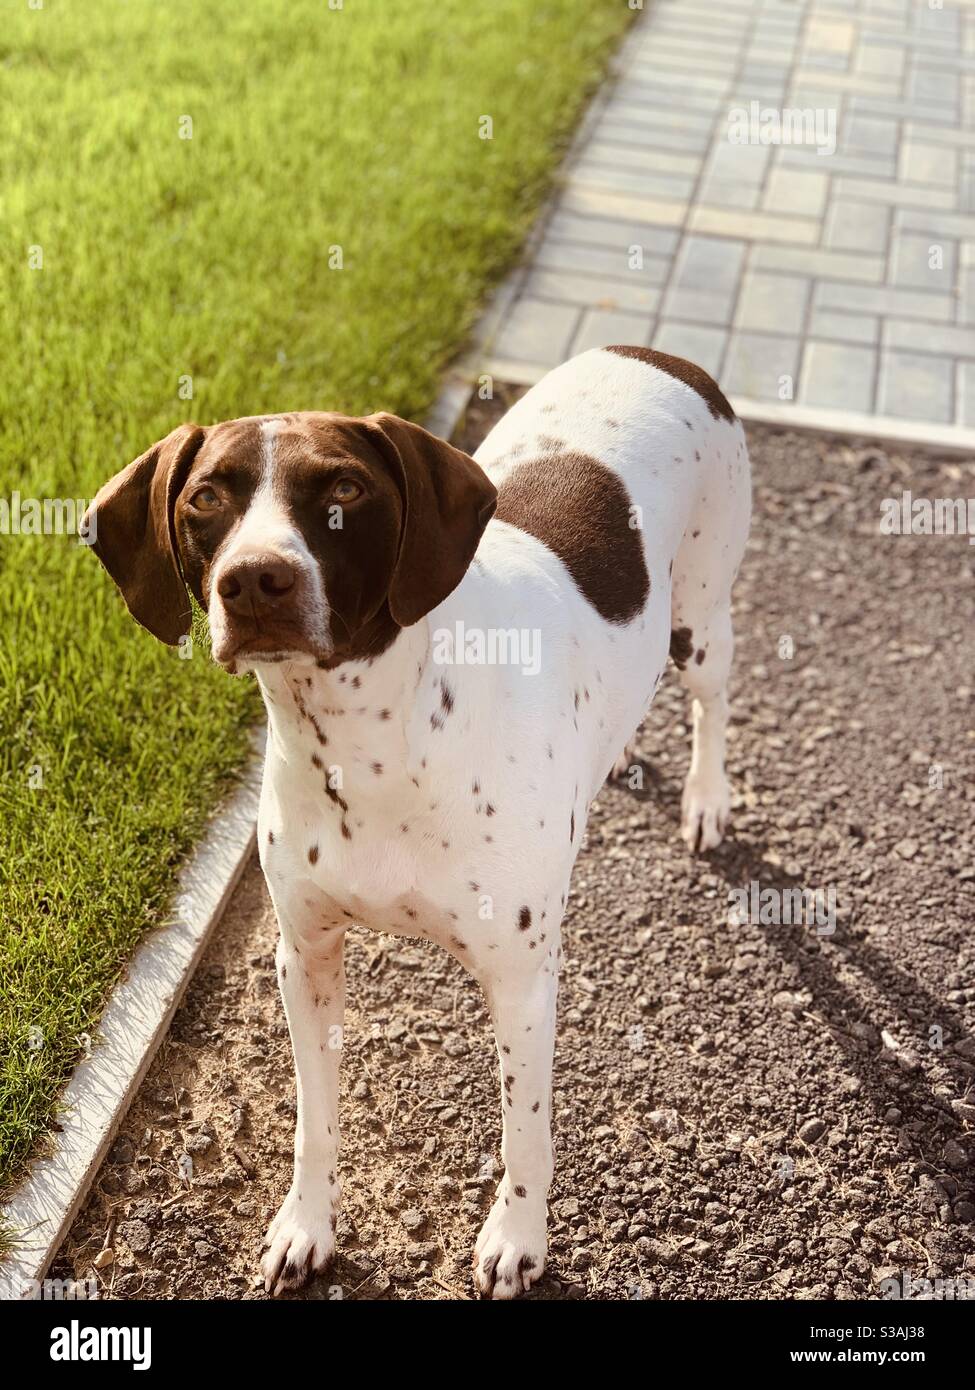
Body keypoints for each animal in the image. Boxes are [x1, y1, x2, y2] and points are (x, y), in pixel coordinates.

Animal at [87, 344, 751, 1289]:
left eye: (346, 488)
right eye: (207, 498)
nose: (253, 581)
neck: (369, 743)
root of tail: (657, 351)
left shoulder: (521, 981)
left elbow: (524, 1133)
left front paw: (516, 1238)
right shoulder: (304, 957)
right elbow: (314, 1120)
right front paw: (307, 1224)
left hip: (701, 617)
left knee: (712, 699)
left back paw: (705, 798)